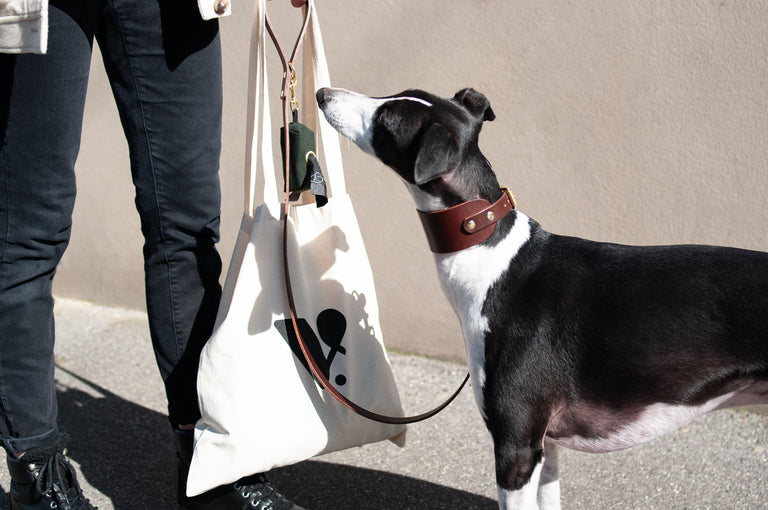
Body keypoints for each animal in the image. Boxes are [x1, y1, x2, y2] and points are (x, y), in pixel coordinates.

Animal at [314, 87, 768, 510]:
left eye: (386, 118)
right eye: (395, 95)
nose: (323, 94)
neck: (494, 259)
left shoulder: (517, 447)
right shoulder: (545, 446)